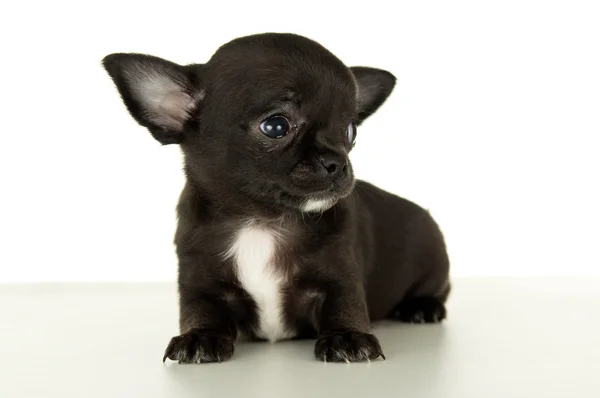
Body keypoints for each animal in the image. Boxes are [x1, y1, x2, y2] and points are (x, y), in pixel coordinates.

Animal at [103, 33, 450, 364]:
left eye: (351, 131)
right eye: (275, 126)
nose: (338, 162)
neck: (261, 222)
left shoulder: (340, 275)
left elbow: (344, 304)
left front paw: (347, 337)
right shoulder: (201, 281)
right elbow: (201, 310)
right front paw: (199, 337)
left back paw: (423, 307)